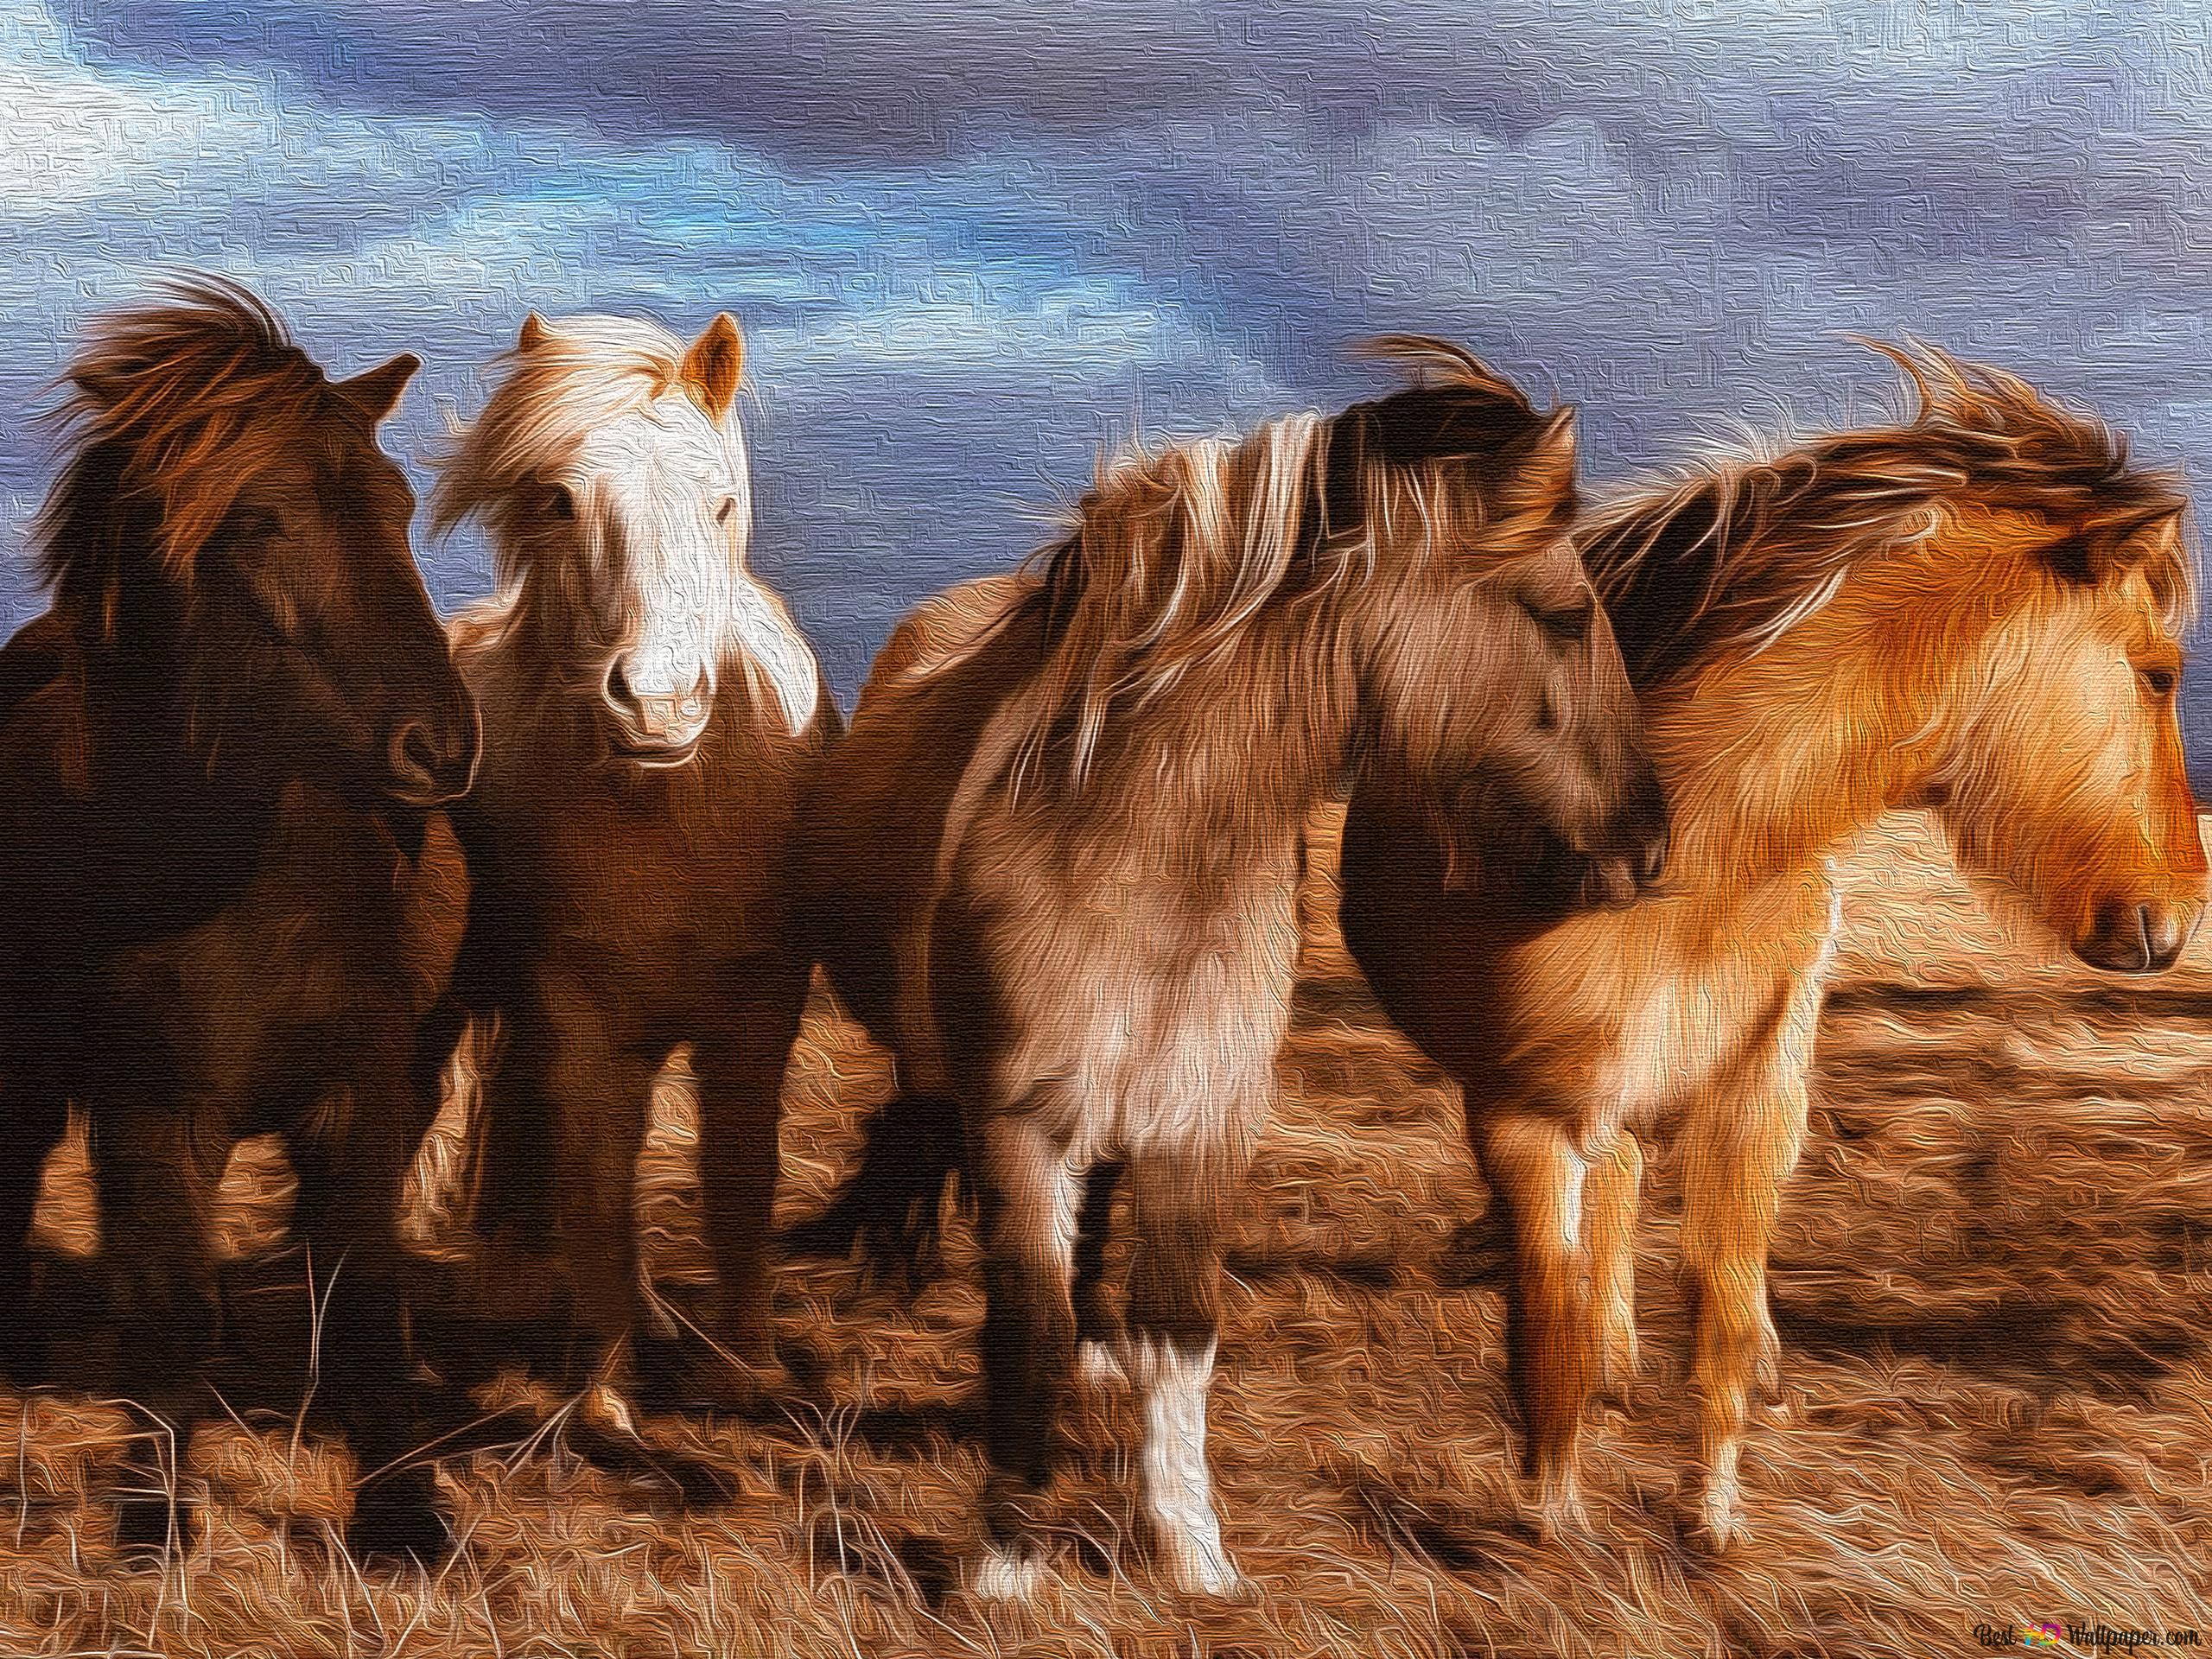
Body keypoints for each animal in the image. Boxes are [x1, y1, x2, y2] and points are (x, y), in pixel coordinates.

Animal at [0, 280, 481, 1560]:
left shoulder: (367, 1096)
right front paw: (154, 1523)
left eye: (399, 506)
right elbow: (172, 1307)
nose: (441, 745)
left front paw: (404, 1518)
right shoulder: (155, 1114)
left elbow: (364, 1297)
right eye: (262, 519)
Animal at [429, 310, 834, 1429]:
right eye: (561, 501)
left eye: (721, 500)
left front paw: (747, 1369)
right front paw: (602, 1391)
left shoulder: (758, 1011)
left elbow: (739, 1174)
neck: (673, 812)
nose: (656, 707)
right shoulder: (579, 1012)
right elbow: (599, 1180)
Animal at [797, 340, 1672, 1600]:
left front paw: (1192, 1553)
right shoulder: (1020, 1124)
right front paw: (1005, 1561)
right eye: (1560, 617)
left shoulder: (1203, 1122)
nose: (1650, 841)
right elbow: (1025, 1324)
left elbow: (1180, 1329)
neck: (1146, 852)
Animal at [1336, 343, 2208, 1551]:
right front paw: (1556, 1513)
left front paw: (1711, 1514)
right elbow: (1549, 1308)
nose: (2179, 914)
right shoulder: (1523, 1112)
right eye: (2158, 673)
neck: (1688, 854)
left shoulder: (1758, 1083)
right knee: (1603, 1225)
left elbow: (1720, 1295)